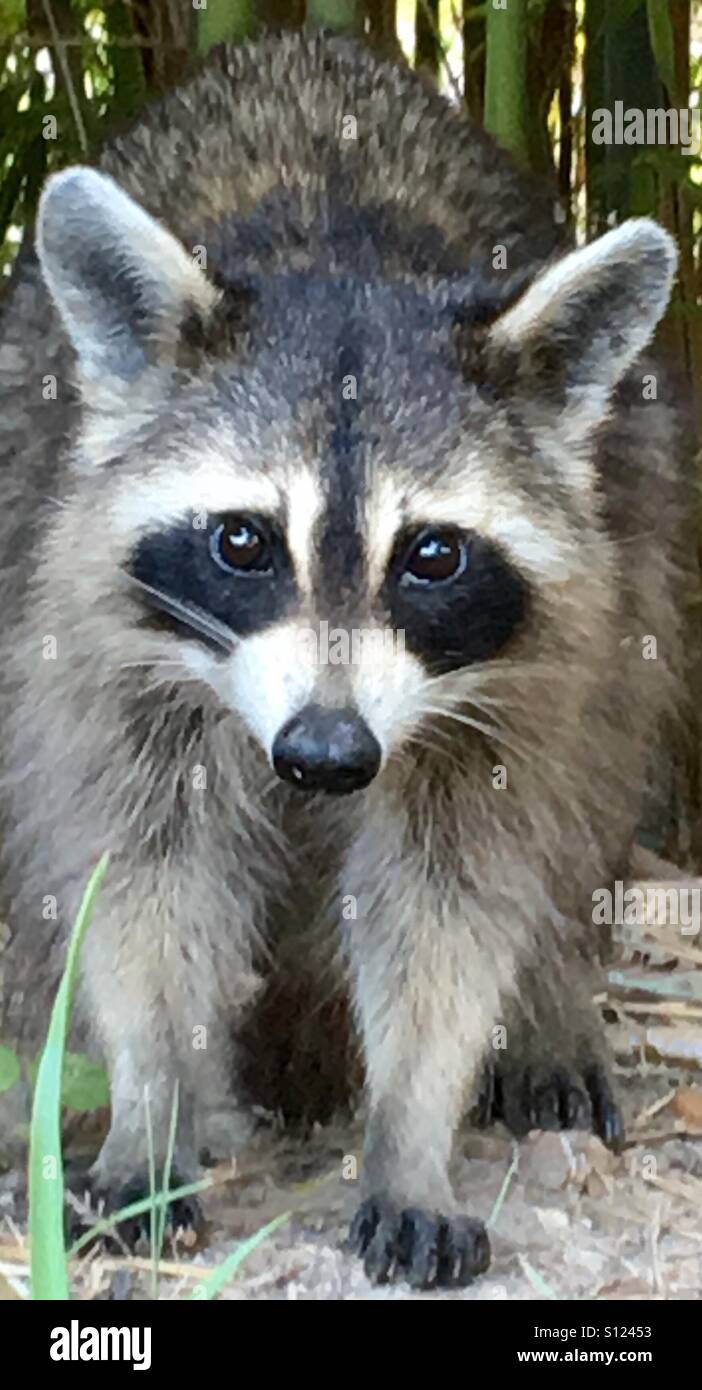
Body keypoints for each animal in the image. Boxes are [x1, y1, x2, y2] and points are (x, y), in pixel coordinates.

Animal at [0, 32, 681, 1284]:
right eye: (242, 541)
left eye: (432, 555)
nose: (324, 753)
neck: (340, 257)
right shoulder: (98, 632)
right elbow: (142, 873)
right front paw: (150, 1094)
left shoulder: (512, 680)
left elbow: (450, 900)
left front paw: (411, 1128)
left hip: (637, 509)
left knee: (599, 770)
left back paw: (552, 996)